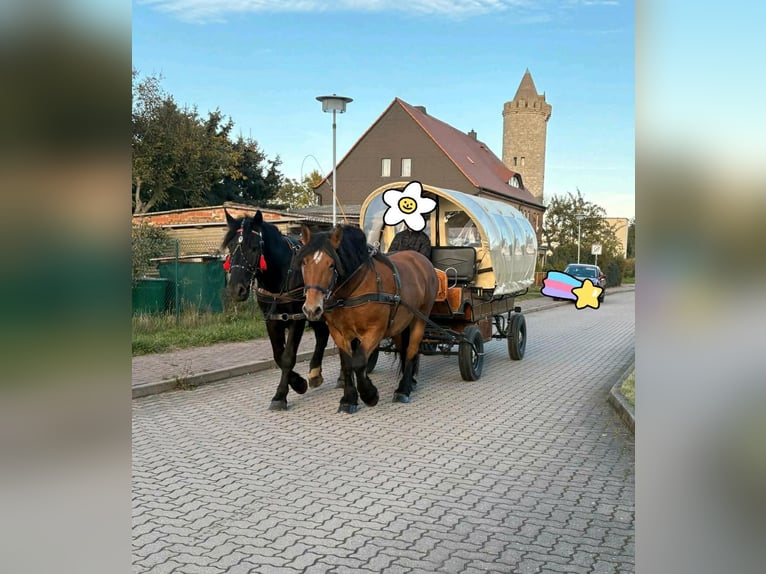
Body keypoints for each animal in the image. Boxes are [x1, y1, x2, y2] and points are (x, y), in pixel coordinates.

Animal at [220, 209, 332, 412]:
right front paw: (298, 383)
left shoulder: (297, 317)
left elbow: (288, 357)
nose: (235, 290)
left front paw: (281, 395)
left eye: (254, 247)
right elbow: (278, 356)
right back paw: (315, 373)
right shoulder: (272, 318)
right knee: (322, 335)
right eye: (231, 248)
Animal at [296, 224, 438, 414]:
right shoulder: (339, 332)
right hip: (399, 324)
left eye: (331, 265)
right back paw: (409, 382)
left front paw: (369, 395)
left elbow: (359, 362)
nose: (312, 308)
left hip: (420, 319)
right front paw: (349, 399)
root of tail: (421, 261)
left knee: (411, 351)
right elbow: (348, 364)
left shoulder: (374, 330)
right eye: (305, 262)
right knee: (403, 349)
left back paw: (403, 389)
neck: (353, 290)